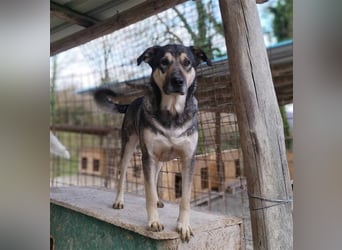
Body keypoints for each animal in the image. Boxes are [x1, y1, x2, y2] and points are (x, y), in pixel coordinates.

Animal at [93, 44, 211, 241]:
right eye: (163, 62)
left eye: (187, 63)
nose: (178, 81)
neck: (172, 112)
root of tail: (131, 103)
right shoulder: (148, 156)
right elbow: (147, 192)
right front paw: (154, 222)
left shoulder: (188, 158)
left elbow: (185, 198)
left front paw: (183, 225)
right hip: (129, 148)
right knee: (122, 176)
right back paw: (119, 200)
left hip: (160, 160)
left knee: (155, 176)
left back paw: (158, 200)